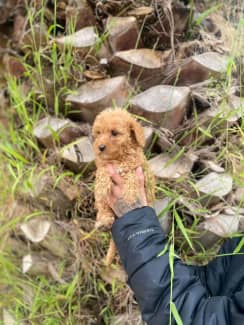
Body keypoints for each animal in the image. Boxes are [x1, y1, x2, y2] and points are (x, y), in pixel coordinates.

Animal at [91, 107, 154, 264]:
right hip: (106, 208)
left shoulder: (140, 168)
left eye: (114, 133)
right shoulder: (103, 166)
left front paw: (130, 195)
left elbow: (130, 174)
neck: (118, 157)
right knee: (104, 210)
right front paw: (102, 186)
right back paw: (103, 221)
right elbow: (102, 172)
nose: (100, 147)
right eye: (98, 133)